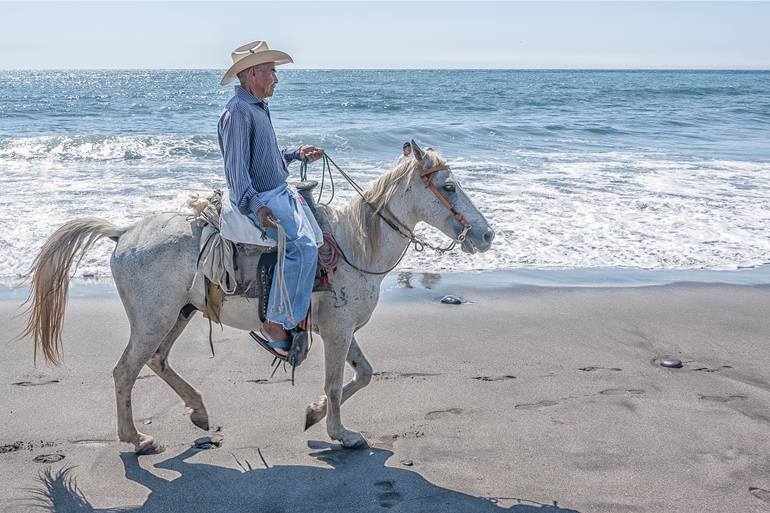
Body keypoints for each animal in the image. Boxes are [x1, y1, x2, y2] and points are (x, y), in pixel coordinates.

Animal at [24, 141, 496, 452]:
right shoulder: (338, 331)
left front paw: (313, 413)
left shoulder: (340, 330)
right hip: (153, 319)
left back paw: (198, 411)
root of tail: (124, 233)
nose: (487, 234)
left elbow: (362, 374)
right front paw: (341, 434)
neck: (354, 246)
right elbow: (336, 383)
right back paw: (136, 438)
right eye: (448, 187)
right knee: (125, 371)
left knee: (157, 361)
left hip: (180, 312)